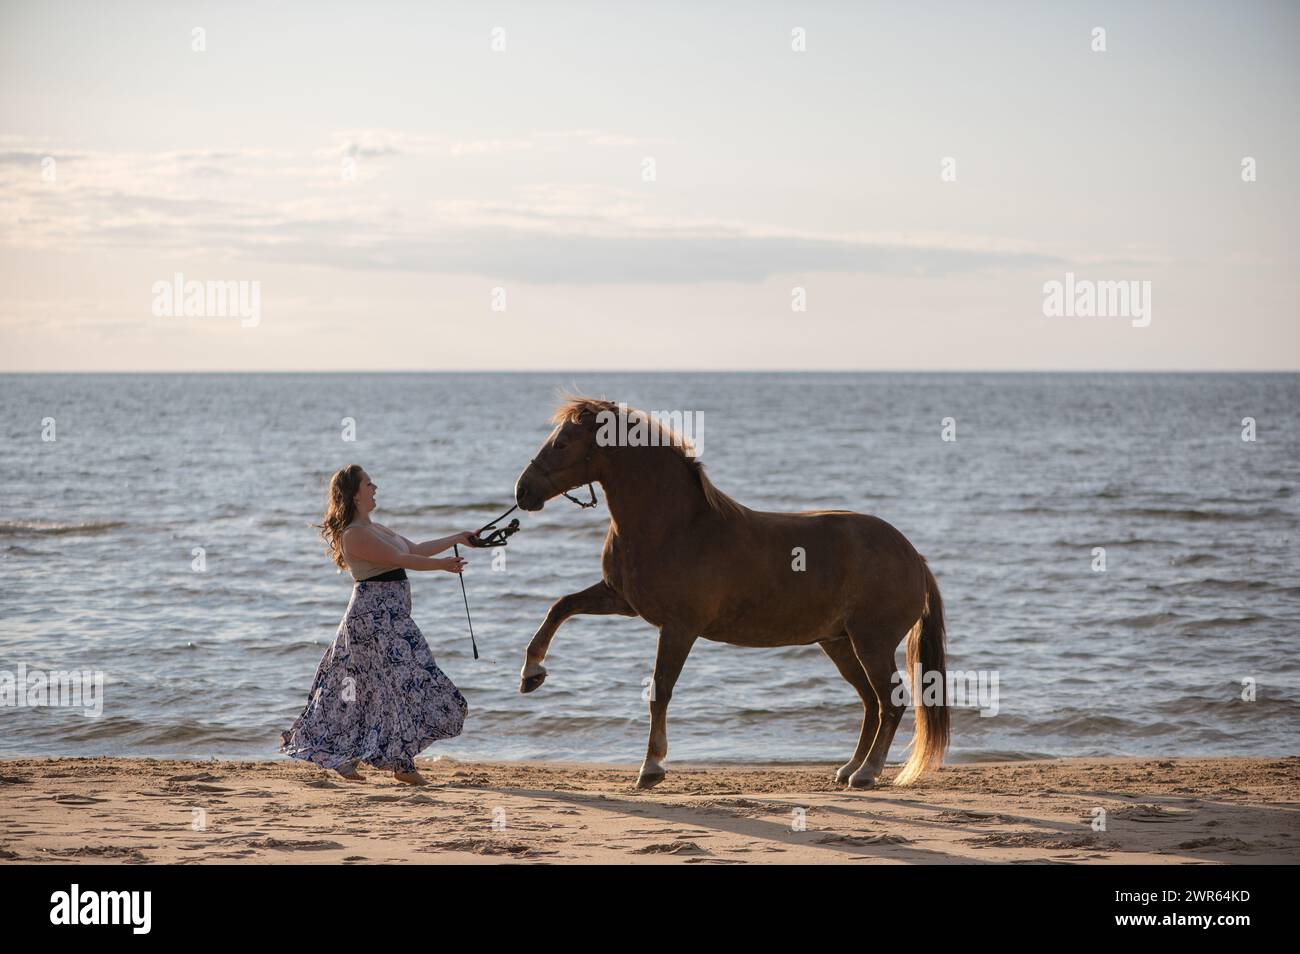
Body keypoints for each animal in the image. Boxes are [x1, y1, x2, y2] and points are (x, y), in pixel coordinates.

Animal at [513, 396, 948, 790]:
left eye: (562, 443)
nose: (522, 491)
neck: (676, 526)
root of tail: (914, 557)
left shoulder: (678, 628)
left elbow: (660, 691)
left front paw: (651, 768)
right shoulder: (621, 600)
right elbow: (561, 606)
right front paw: (532, 672)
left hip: (871, 643)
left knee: (890, 701)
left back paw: (867, 773)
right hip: (839, 643)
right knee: (871, 703)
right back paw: (849, 768)